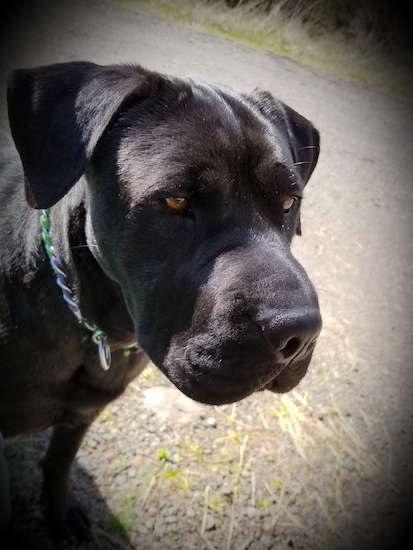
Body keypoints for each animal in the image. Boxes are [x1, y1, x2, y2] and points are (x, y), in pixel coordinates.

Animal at [0, 62, 320, 544]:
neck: (97, 328)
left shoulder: (82, 413)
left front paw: (59, 512)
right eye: (176, 200)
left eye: (289, 202)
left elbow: (59, 461)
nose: (300, 333)